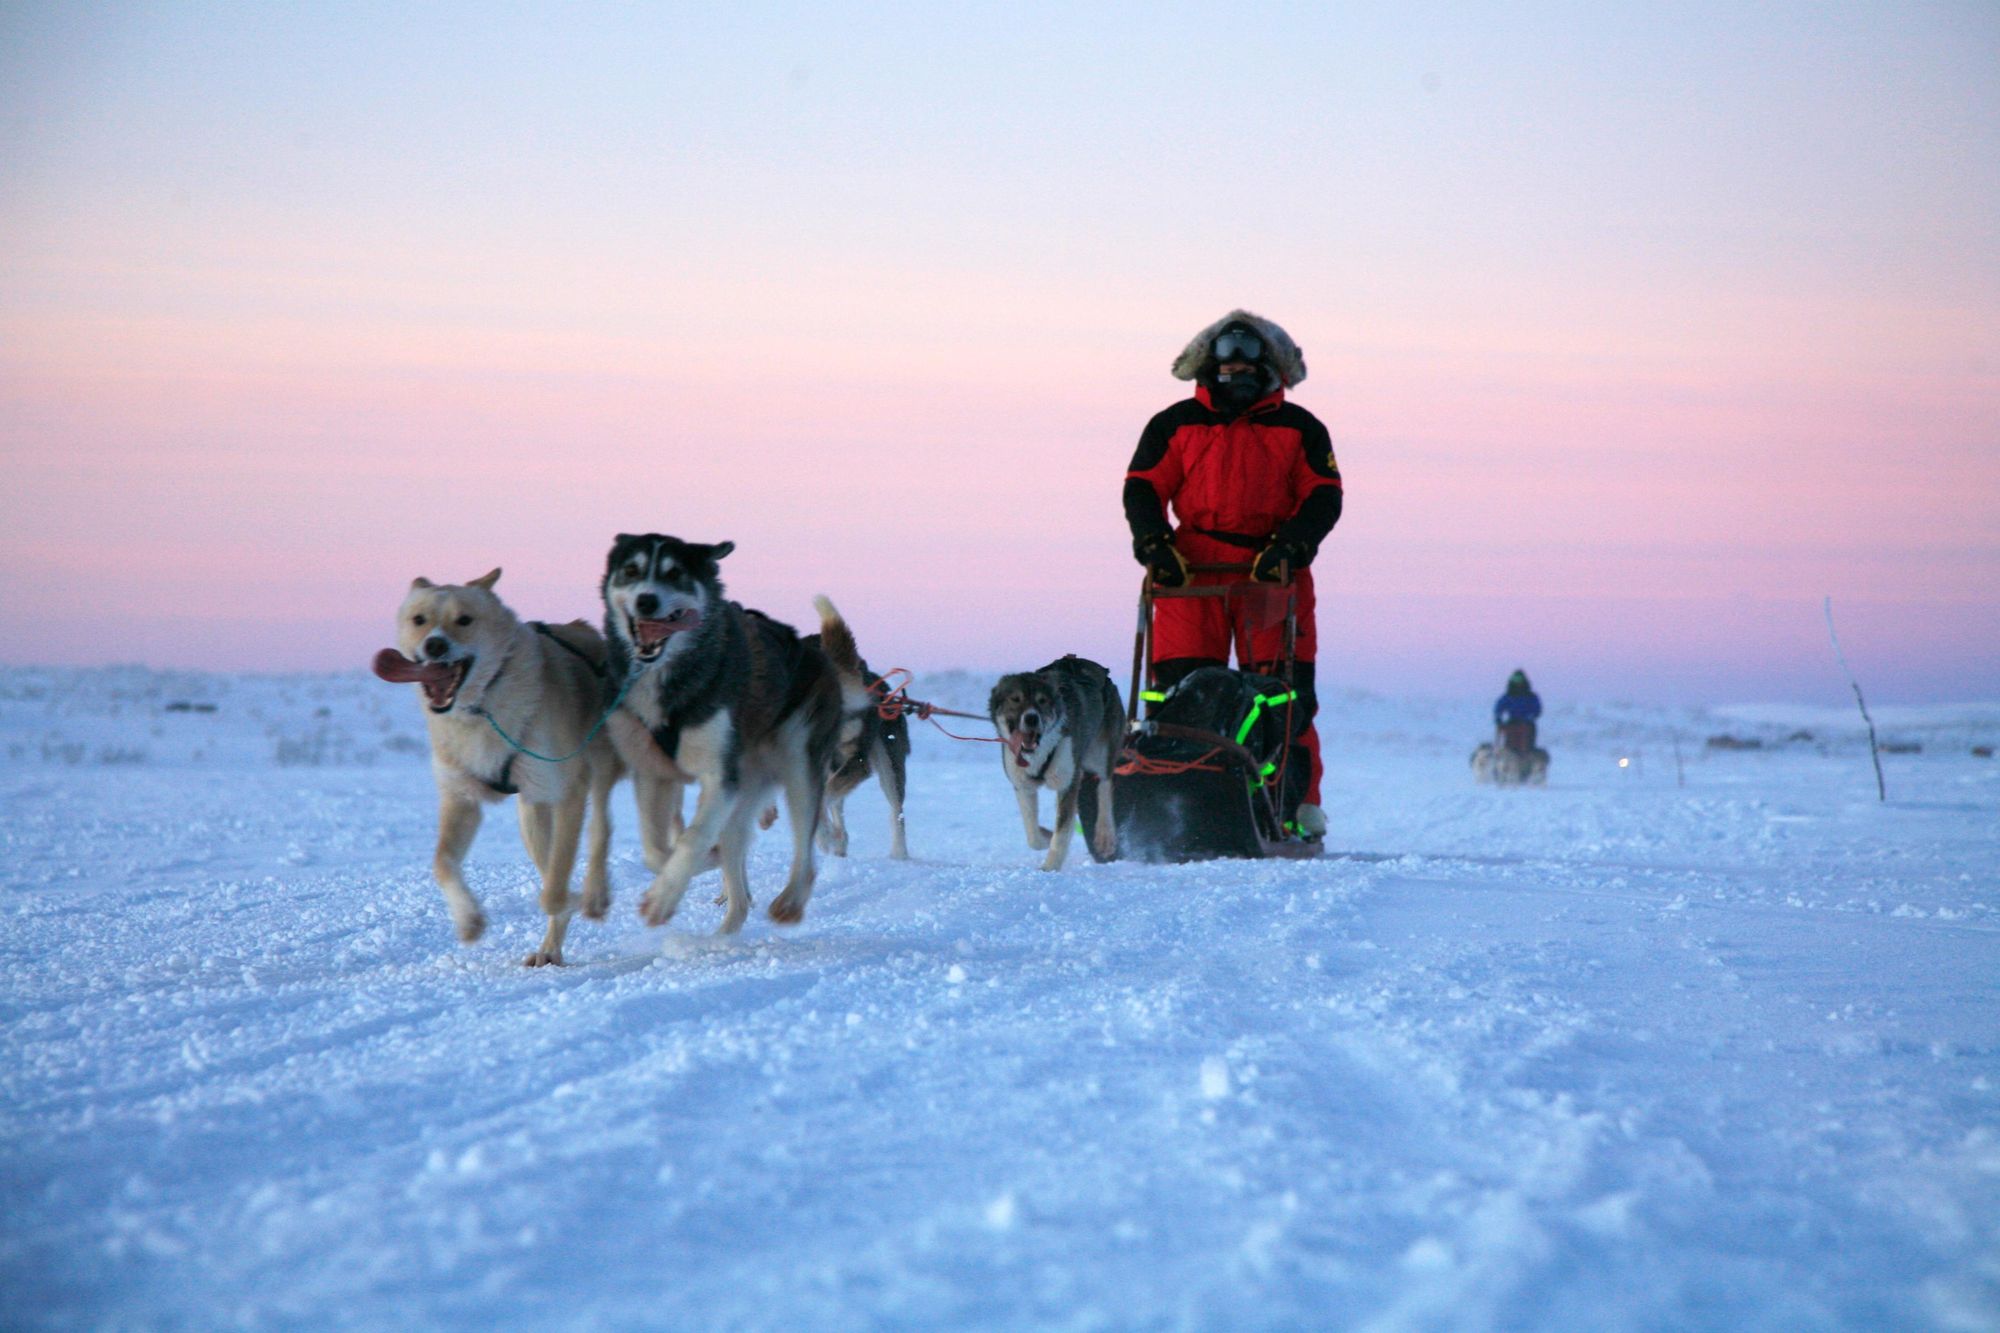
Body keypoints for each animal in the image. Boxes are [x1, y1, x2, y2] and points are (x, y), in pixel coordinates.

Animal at [372, 564, 620, 960]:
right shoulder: (462, 799)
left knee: (599, 832)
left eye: (464, 619)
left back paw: (593, 896)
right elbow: (442, 863)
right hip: (531, 814)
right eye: (419, 620)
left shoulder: (570, 790)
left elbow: (555, 888)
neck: (481, 707)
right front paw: (468, 919)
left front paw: (572, 897)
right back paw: (550, 950)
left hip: (593, 778)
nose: (435, 644)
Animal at [596, 536, 872, 928]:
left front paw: (663, 898)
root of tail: (818, 656)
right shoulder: (653, 774)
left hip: (798, 766)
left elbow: (692, 839)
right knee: (737, 878)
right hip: (744, 796)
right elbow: (656, 850)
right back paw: (724, 928)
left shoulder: (718, 777)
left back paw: (790, 901)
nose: (646, 600)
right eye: (631, 570)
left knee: (805, 852)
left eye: (675, 573)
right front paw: (686, 871)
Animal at [988, 652, 1128, 860]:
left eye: (1042, 700)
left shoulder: (1068, 781)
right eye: (1015, 699)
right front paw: (1046, 835)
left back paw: (1105, 836)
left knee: (1105, 784)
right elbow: (1034, 837)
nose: (1032, 718)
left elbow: (1061, 834)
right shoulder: (1023, 785)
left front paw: (1050, 864)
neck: (1039, 753)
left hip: (1100, 754)